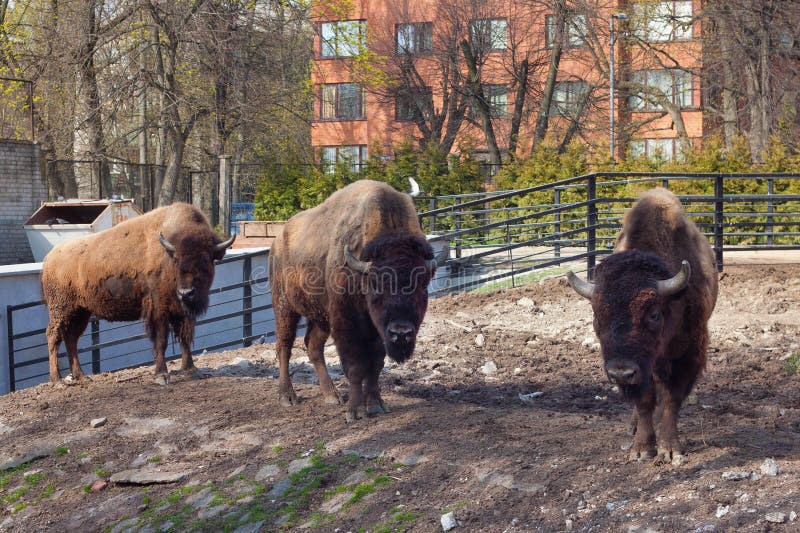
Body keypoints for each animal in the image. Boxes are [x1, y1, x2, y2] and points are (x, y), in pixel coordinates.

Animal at [42, 203, 235, 385]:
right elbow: (161, 341)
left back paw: (81, 377)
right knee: (53, 336)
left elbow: (185, 339)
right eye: (177, 260)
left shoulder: (182, 313)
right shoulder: (159, 310)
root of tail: (49, 258)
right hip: (61, 309)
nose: (186, 292)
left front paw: (192, 370)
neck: (168, 252)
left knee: (71, 338)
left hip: (80, 312)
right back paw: (57, 380)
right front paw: (162, 375)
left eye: (206, 261)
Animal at [270, 180, 439, 422]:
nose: (401, 333)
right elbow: (356, 366)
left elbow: (375, 365)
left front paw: (376, 405)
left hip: (321, 317)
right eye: (376, 284)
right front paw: (355, 410)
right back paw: (288, 397)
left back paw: (332, 396)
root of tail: (277, 241)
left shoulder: (376, 330)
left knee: (313, 346)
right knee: (284, 345)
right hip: (284, 306)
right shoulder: (346, 322)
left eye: (422, 284)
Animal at [567, 188, 718, 461]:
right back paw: (633, 427)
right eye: (596, 317)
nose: (621, 372)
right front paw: (642, 449)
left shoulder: (689, 354)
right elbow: (645, 400)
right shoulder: (643, 370)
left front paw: (670, 450)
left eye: (654, 314)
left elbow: (671, 399)